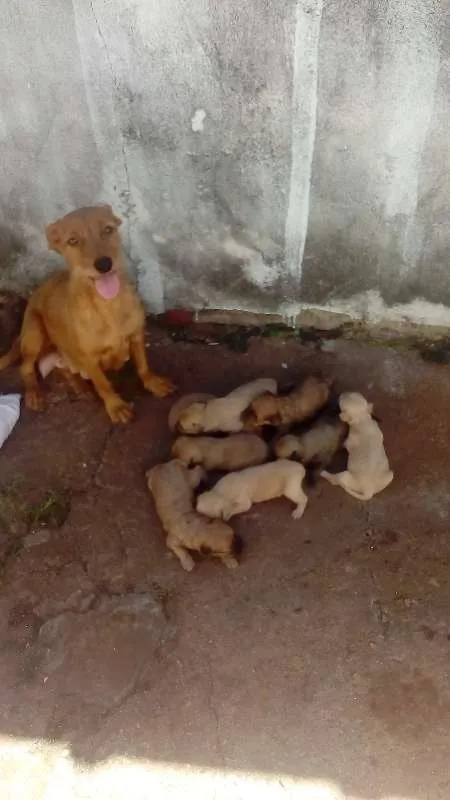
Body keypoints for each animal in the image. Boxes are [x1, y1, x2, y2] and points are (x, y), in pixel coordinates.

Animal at [0, 203, 175, 422]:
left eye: (108, 229)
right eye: (73, 241)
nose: (104, 264)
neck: (108, 306)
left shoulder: (136, 336)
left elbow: (143, 366)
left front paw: (153, 382)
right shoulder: (89, 359)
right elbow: (103, 383)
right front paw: (115, 406)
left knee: (63, 369)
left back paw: (80, 386)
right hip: (34, 333)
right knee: (25, 368)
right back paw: (35, 394)